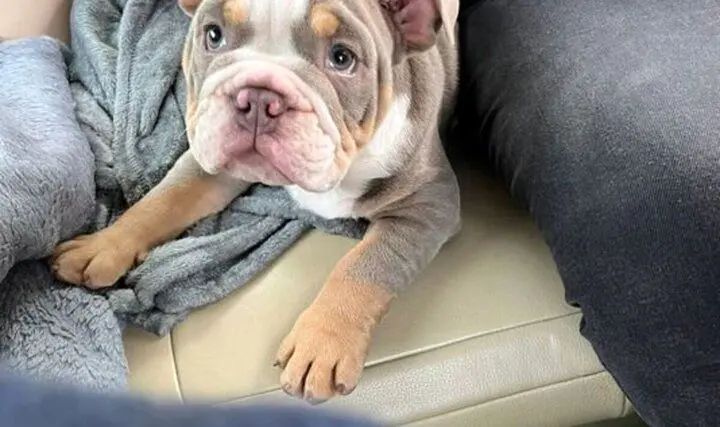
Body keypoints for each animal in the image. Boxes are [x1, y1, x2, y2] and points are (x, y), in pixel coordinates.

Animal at [51, 0, 461, 404]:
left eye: (342, 58)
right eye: (213, 35)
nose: (260, 95)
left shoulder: (428, 205)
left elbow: (365, 265)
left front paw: (322, 344)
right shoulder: (209, 164)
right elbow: (163, 200)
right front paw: (102, 245)